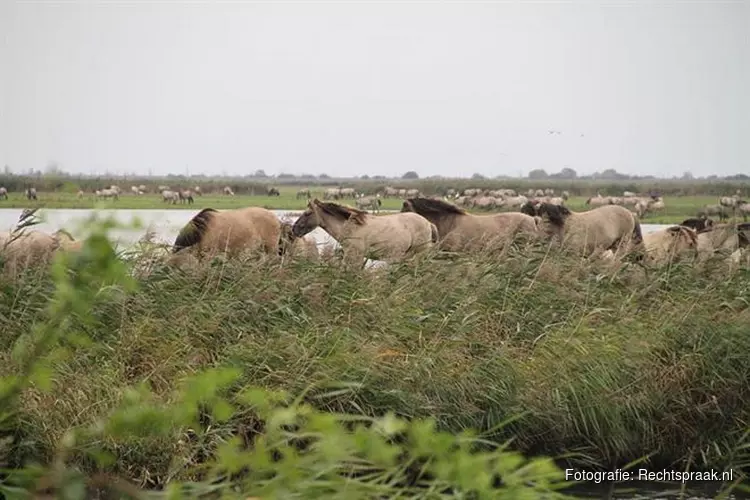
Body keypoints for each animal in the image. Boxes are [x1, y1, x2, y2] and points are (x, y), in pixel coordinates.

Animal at [290, 198, 438, 266]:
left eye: (307, 213)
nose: (294, 229)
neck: (351, 227)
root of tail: (428, 223)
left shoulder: (355, 256)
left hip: (417, 255)